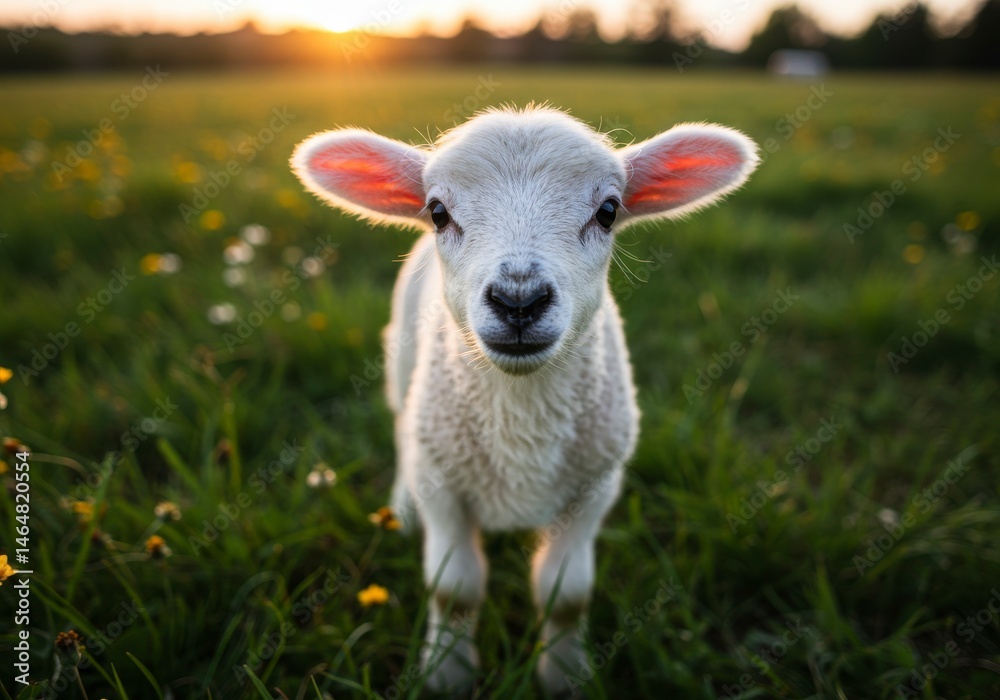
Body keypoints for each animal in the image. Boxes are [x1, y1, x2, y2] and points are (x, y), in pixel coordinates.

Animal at [291, 105, 758, 694]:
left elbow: (567, 594)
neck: (522, 417)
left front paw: (564, 676)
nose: (519, 300)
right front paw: (447, 674)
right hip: (404, 375)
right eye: (438, 213)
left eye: (608, 211)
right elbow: (454, 590)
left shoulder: (594, 485)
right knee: (401, 425)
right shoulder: (443, 484)